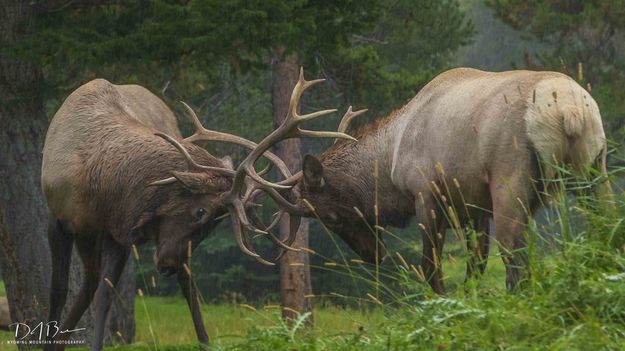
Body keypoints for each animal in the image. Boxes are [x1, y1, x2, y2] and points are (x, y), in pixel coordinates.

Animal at [39, 69, 352, 351]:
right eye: (200, 212)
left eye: (213, 226)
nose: (166, 266)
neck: (96, 185)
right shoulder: (59, 219)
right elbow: (58, 291)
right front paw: (49, 343)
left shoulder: (118, 231)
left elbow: (106, 296)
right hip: (91, 235)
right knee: (89, 282)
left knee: (182, 285)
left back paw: (205, 341)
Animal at [250, 68, 608, 294]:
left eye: (331, 217)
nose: (373, 255)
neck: (391, 156)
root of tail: (570, 111)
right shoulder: (473, 205)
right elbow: (475, 264)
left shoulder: (426, 194)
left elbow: (430, 267)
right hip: (594, 168)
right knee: (603, 225)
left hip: (511, 179)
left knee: (515, 253)